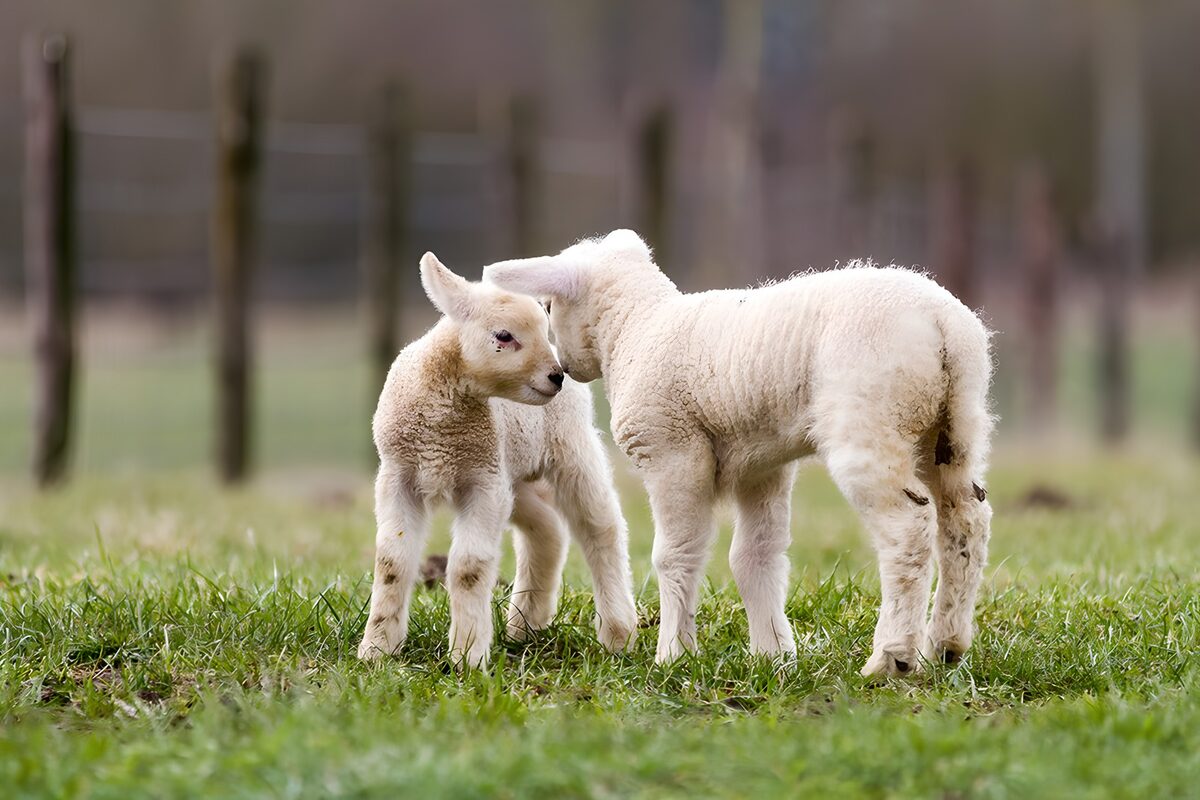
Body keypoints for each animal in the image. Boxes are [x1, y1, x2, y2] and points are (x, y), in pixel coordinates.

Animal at [356, 252, 638, 669]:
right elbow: (391, 563)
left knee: (600, 527)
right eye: (503, 336)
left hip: (569, 446)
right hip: (513, 475)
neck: (442, 426)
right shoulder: (400, 475)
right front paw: (376, 650)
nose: (555, 376)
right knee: (547, 531)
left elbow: (468, 568)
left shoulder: (483, 483)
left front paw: (466, 656)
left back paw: (618, 633)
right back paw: (526, 626)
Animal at [483, 230, 994, 677]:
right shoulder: (762, 465)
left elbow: (675, 554)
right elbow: (754, 557)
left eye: (549, 305)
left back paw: (893, 657)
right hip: (953, 426)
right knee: (965, 521)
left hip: (871, 422)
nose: (564, 370)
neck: (636, 329)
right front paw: (773, 655)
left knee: (908, 530)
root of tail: (943, 322)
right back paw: (945, 645)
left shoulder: (672, 450)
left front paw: (673, 655)